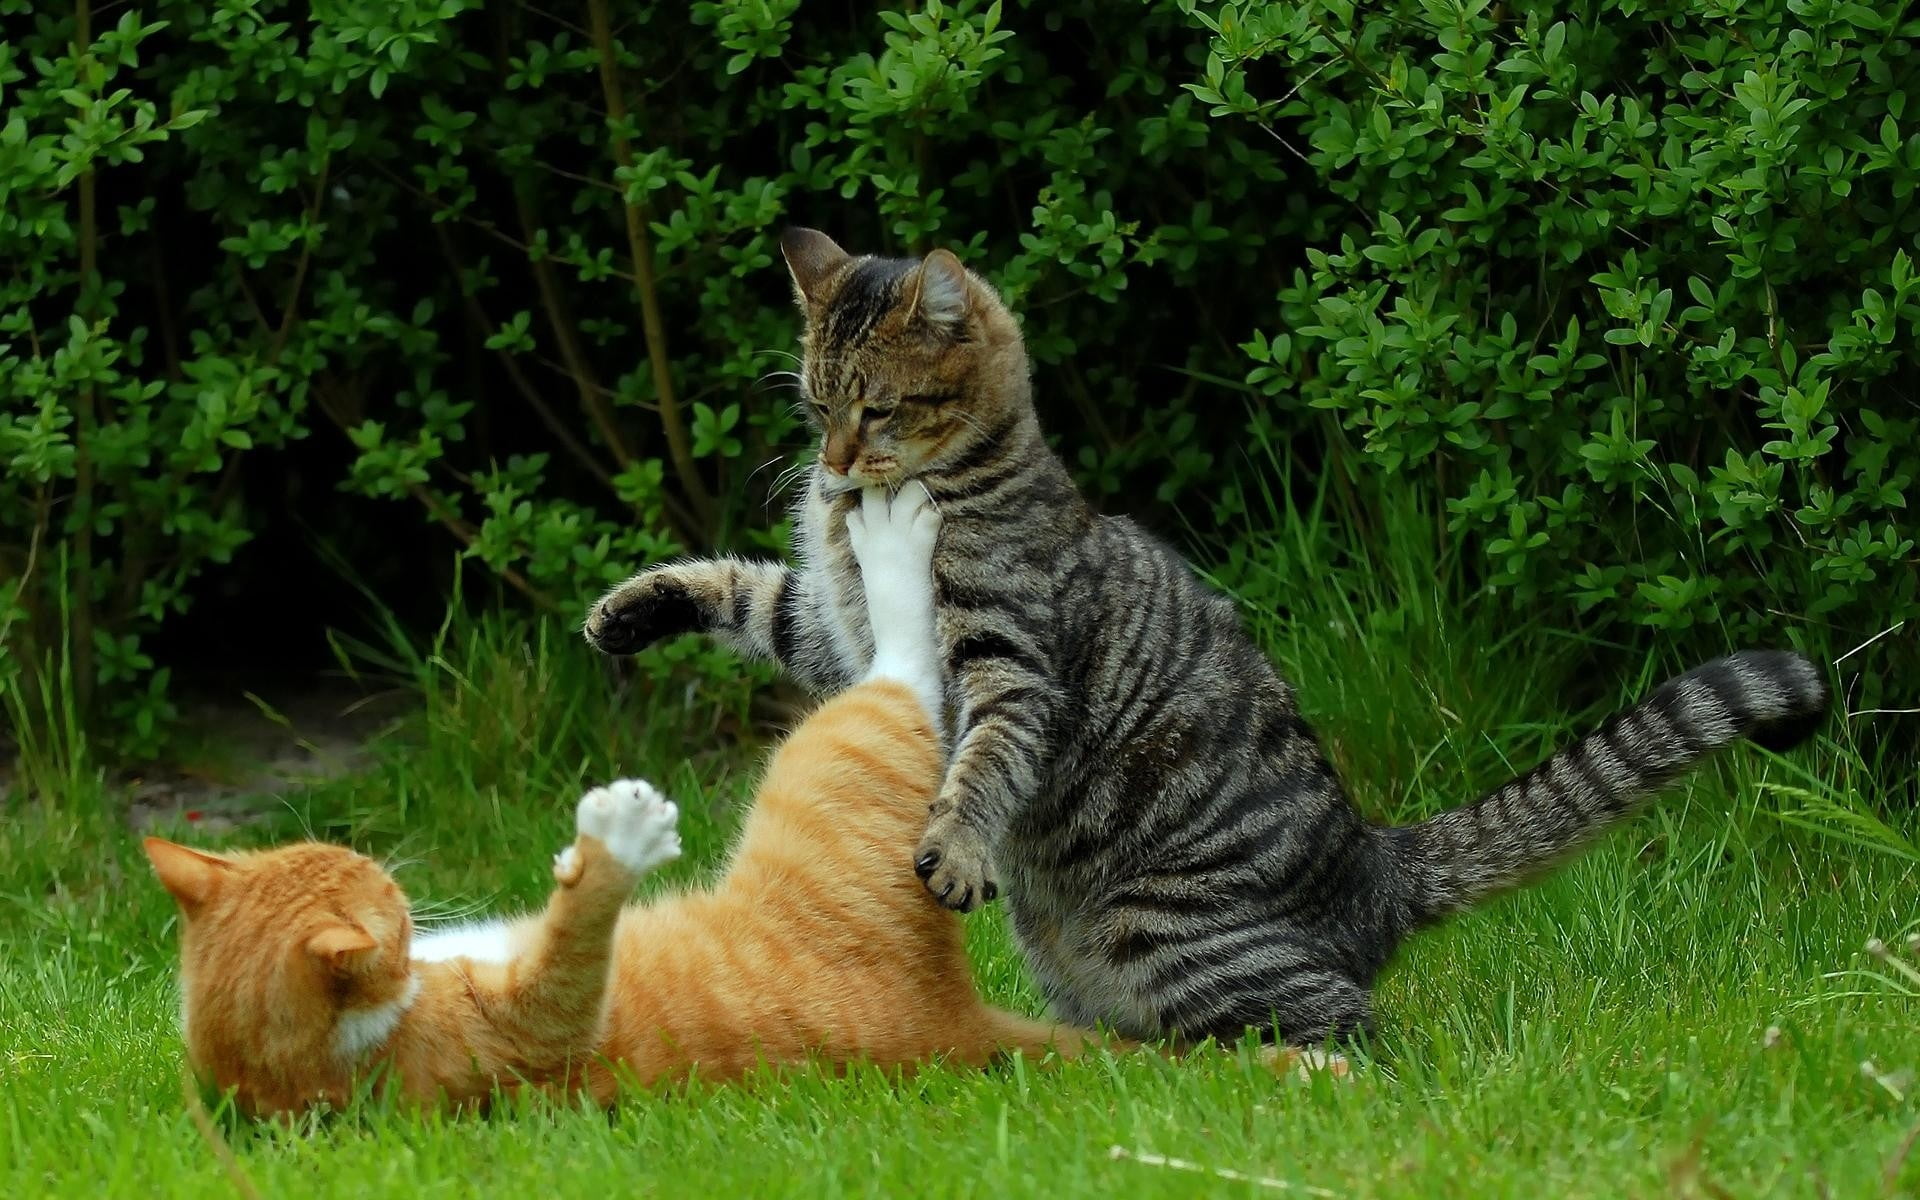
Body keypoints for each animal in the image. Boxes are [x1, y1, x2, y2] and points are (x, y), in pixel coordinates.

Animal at [145, 481, 1098, 1121]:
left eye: (344, 860)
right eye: (378, 895)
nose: (388, 871)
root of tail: (955, 1022)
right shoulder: (519, 1035)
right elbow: (567, 969)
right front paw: (617, 840)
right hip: (843, 748)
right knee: (903, 667)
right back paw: (890, 540)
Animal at [583, 231, 1827, 1036]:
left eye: (876, 409)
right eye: (815, 403)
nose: (835, 463)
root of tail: (1375, 862)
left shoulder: (1002, 659)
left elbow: (981, 765)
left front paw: (956, 847)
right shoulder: (834, 635)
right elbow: (749, 592)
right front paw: (630, 607)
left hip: (1177, 932)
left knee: (1358, 1030)